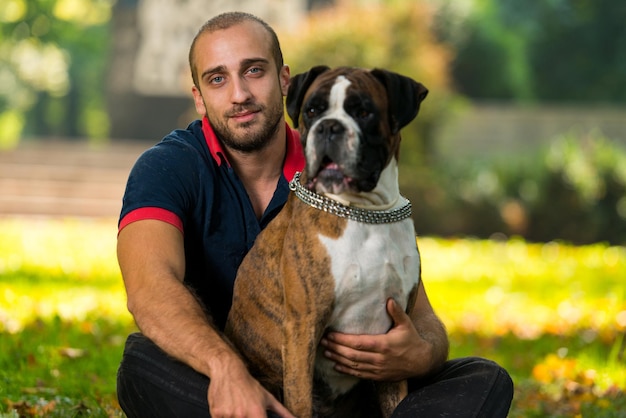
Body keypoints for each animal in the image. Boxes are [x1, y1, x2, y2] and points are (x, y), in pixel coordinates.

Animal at [225, 67, 428, 416]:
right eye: (312, 111)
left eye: (363, 112)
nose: (329, 127)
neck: (365, 212)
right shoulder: (301, 329)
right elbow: (299, 402)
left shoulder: (394, 347)